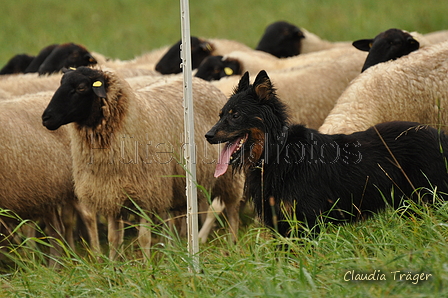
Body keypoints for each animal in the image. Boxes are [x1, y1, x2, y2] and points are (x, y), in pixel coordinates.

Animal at [41, 67, 245, 258]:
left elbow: (144, 238)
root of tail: (207, 85)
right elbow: (113, 238)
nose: (46, 118)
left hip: (228, 177)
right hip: (180, 186)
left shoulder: (148, 192)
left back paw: (233, 243)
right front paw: (112, 265)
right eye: (61, 83)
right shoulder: (110, 192)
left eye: (81, 88)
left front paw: (147, 266)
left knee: (232, 210)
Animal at [206, 70, 448, 237]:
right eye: (220, 114)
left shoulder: (306, 224)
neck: (278, 152)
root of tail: (440, 136)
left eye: (235, 115)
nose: (207, 135)